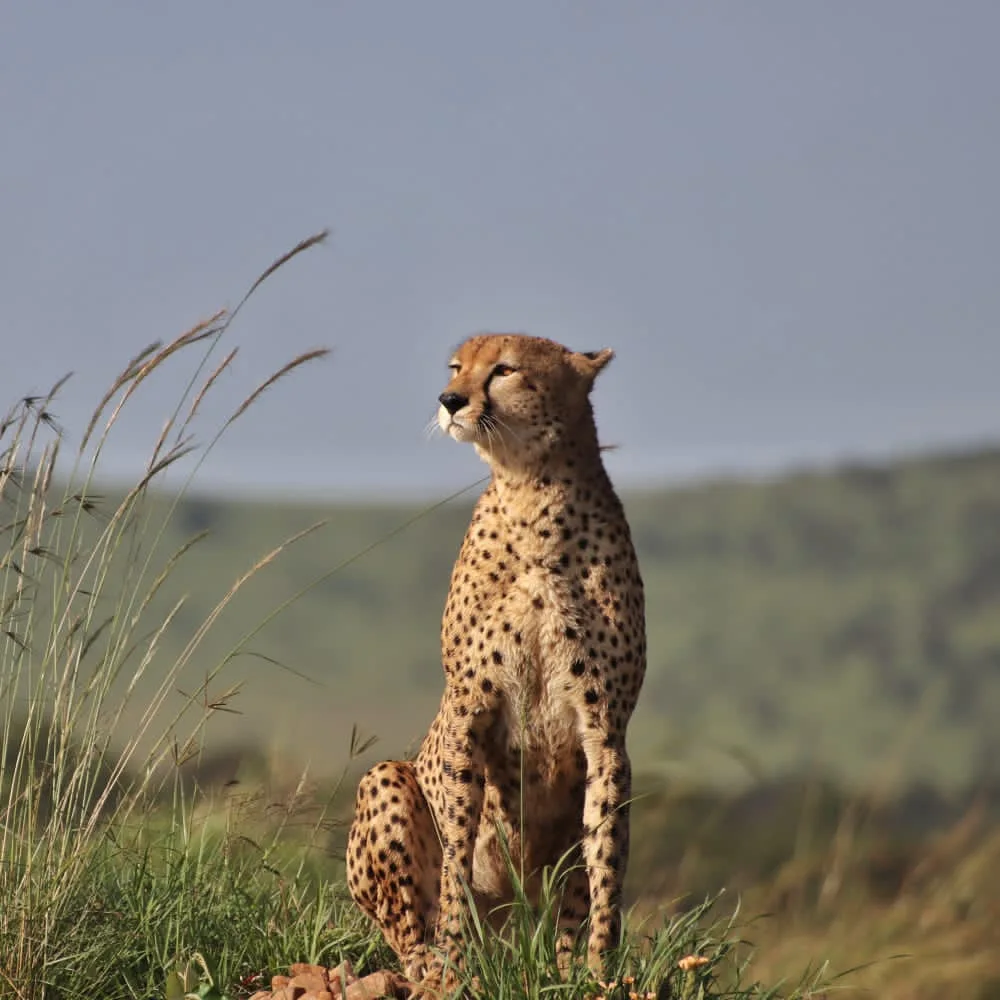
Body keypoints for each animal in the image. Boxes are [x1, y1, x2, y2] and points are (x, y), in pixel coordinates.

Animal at [346, 333, 646, 992]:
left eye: (504, 370)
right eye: (456, 367)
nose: (449, 400)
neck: (534, 495)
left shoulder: (605, 730)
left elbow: (606, 861)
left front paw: (597, 972)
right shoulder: (468, 710)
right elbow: (457, 856)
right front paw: (455, 967)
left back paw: (557, 966)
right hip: (385, 777)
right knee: (407, 927)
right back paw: (432, 963)